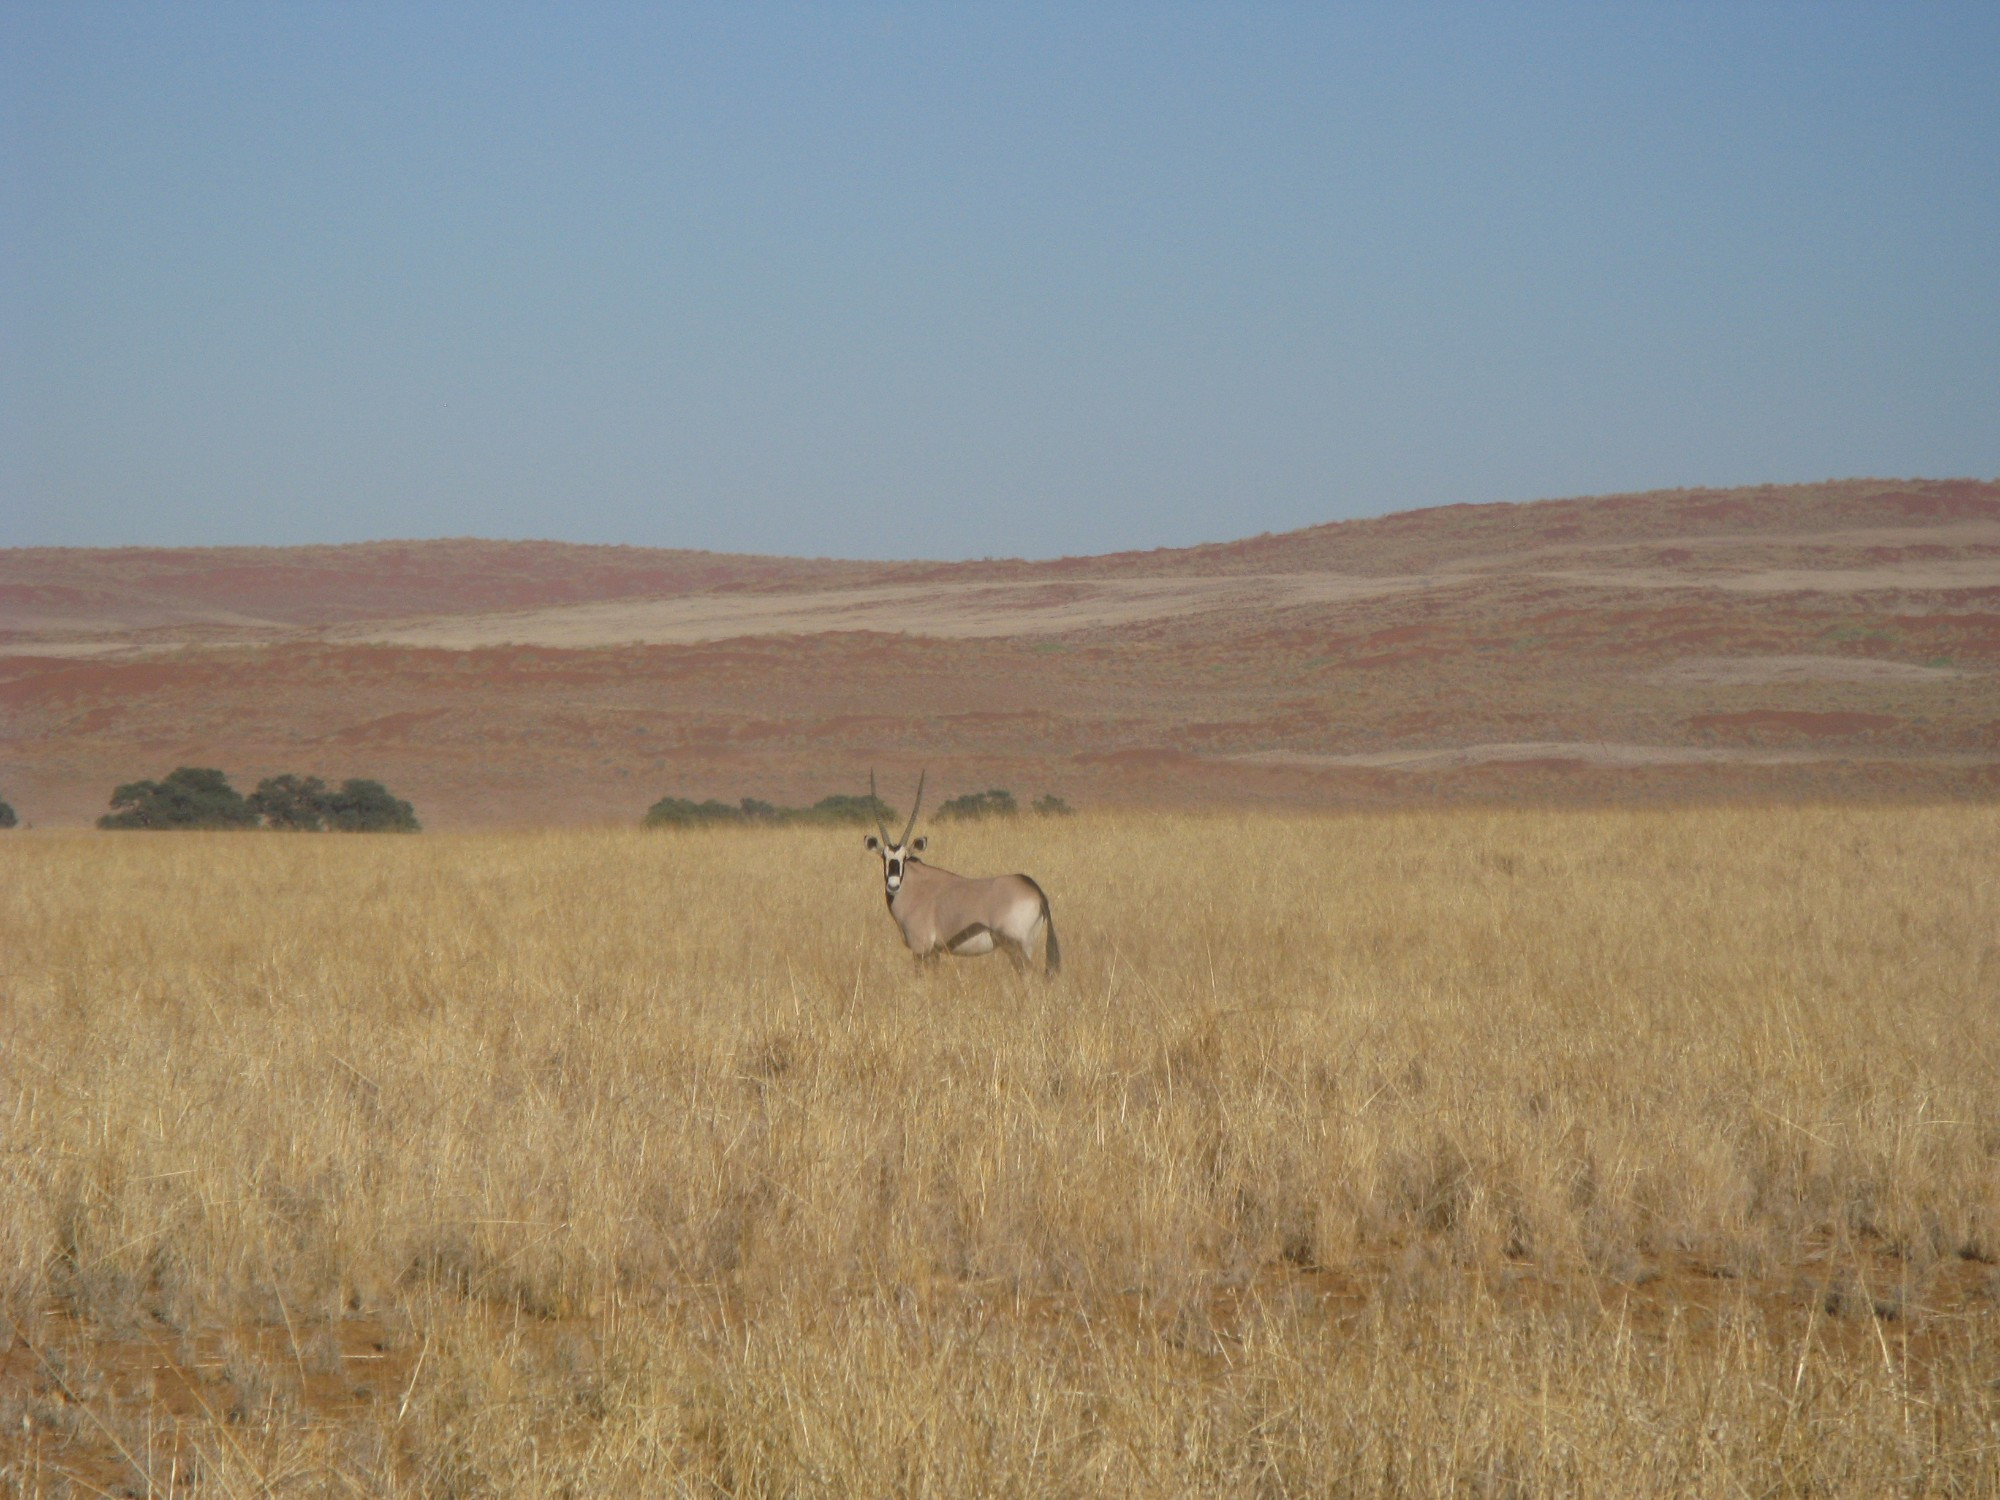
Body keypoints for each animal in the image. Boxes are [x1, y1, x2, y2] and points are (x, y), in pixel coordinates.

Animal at [868, 776, 1072, 976]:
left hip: (1015, 946)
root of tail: (1035, 890)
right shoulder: (934, 951)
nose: (893, 886)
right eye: (884, 857)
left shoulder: (921, 948)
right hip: (1026, 945)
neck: (914, 887)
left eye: (905, 857)